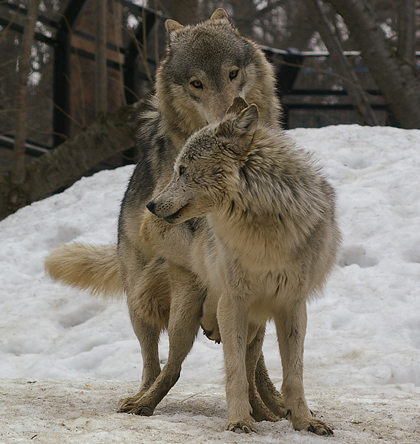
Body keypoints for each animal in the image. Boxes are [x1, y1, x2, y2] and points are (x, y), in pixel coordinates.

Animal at [46, 9, 288, 426]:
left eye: (233, 73)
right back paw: (141, 398)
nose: (233, 116)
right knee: (153, 361)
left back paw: (272, 409)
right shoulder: (158, 224)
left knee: (253, 359)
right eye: (196, 83)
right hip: (141, 298)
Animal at [146, 98, 340, 434]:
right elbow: (233, 372)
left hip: (256, 328)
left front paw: (304, 420)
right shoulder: (233, 302)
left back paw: (263, 412)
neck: (264, 231)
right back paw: (138, 405)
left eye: (183, 170)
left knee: (250, 370)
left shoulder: (292, 306)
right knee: (171, 368)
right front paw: (238, 420)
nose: (151, 205)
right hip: (184, 319)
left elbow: (294, 375)